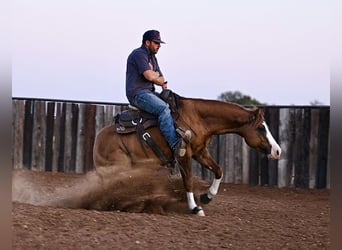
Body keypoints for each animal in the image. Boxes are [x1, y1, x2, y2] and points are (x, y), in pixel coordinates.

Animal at [93, 93, 280, 216]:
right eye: (261, 128)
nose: (277, 151)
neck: (198, 118)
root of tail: (98, 139)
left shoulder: (200, 152)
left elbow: (219, 170)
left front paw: (207, 197)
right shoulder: (184, 153)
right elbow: (188, 181)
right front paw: (195, 208)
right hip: (119, 167)